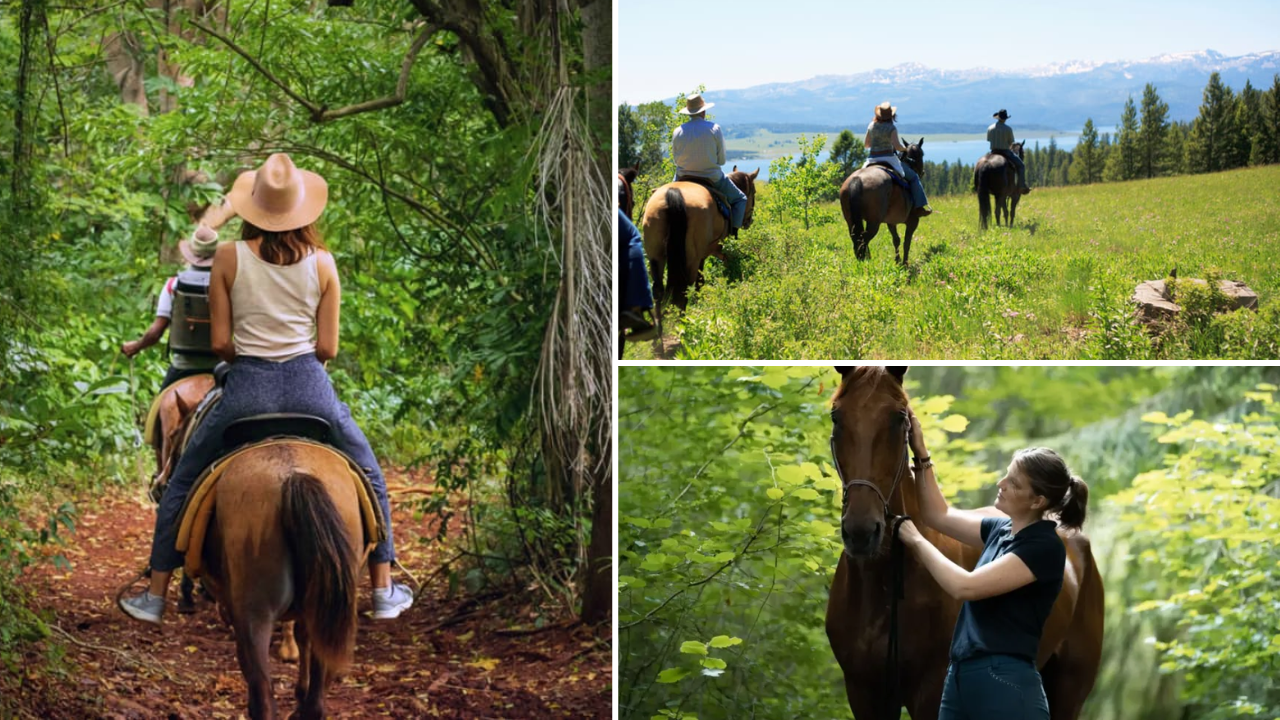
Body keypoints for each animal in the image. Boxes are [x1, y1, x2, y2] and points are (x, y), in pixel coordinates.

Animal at [641, 167, 758, 310]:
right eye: (754, 192)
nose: (749, 221)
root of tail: (673, 194)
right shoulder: (707, 252)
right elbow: (700, 281)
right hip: (691, 259)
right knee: (684, 289)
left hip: (655, 256)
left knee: (658, 289)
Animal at [825, 366, 1104, 719]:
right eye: (836, 416)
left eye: (898, 417)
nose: (861, 531)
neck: (885, 589)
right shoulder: (865, 693)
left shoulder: (931, 691)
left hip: (1070, 690)